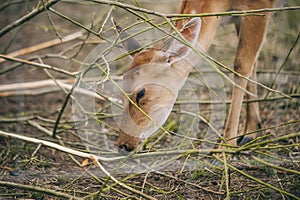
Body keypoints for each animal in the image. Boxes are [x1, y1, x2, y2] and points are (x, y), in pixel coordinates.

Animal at [116, 0, 276, 155]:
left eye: (141, 93)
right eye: (121, 94)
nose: (123, 145)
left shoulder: (260, 8)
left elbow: (242, 66)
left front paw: (226, 148)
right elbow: (252, 64)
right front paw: (250, 132)